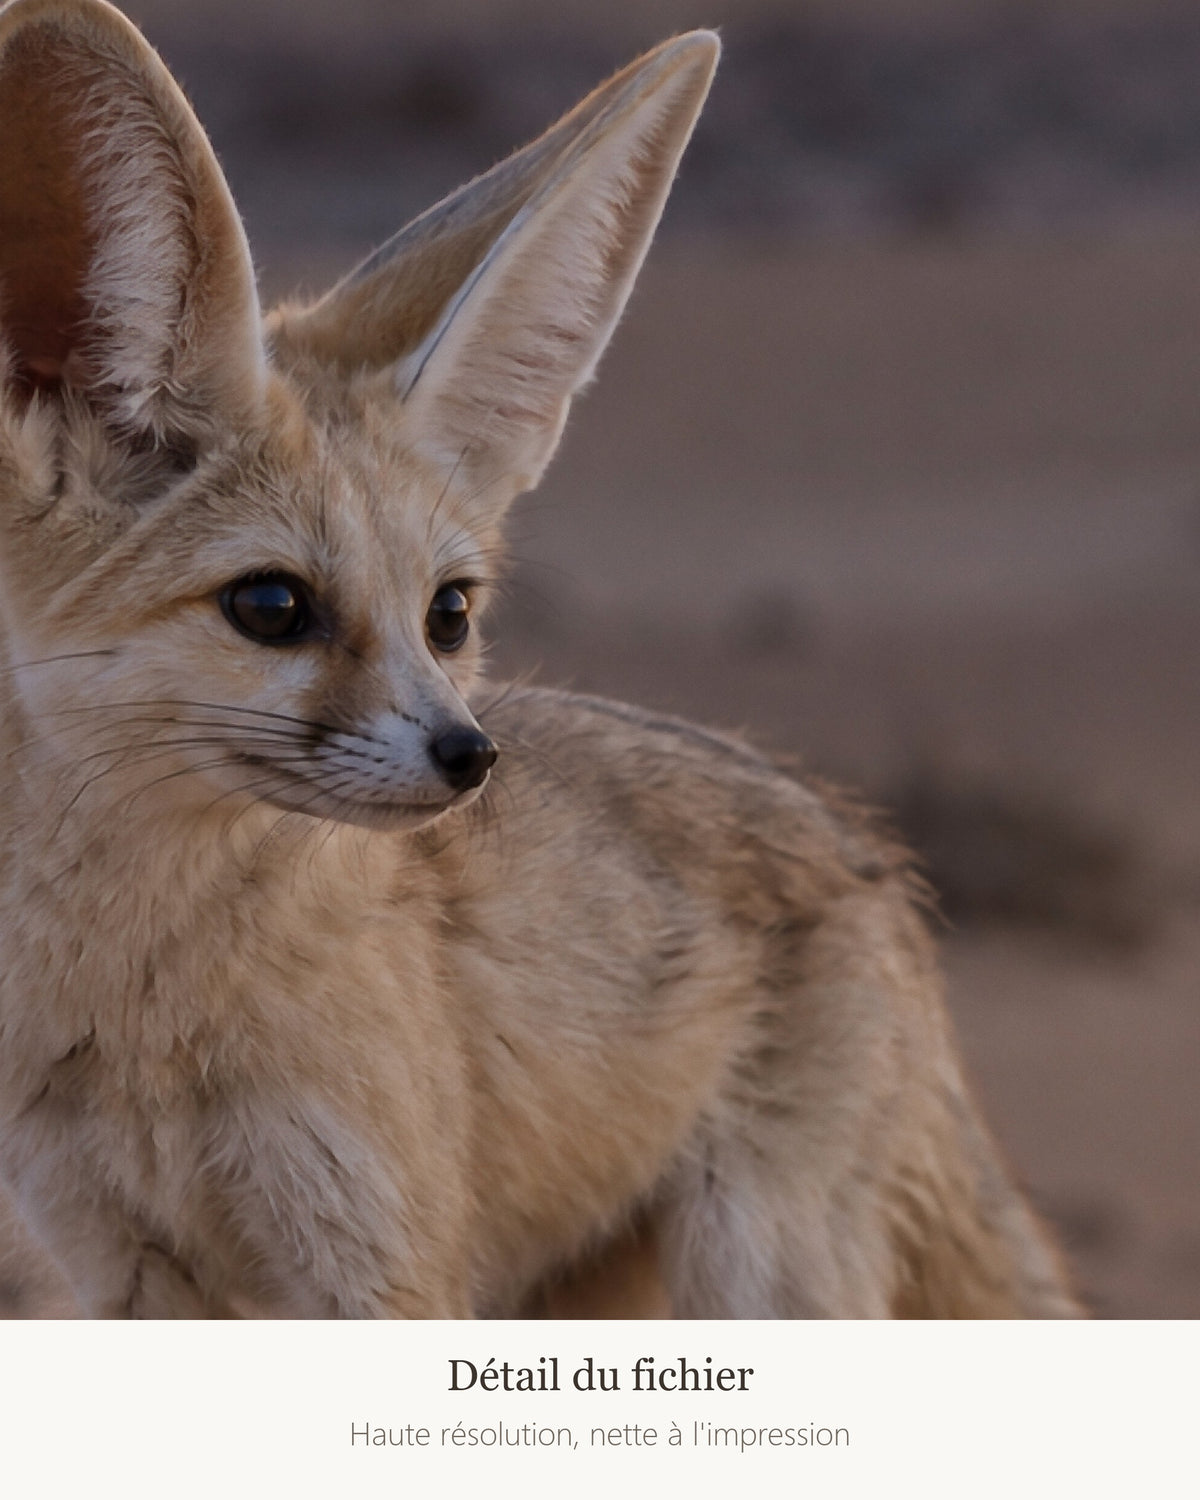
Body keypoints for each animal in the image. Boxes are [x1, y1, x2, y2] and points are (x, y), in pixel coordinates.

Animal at [0, 0, 1079, 1319]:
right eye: (271, 606)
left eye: (448, 614)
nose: (471, 757)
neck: (142, 1009)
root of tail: (867, 854)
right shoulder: (116, 1267)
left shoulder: (376, 1264)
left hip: (757, 1274)